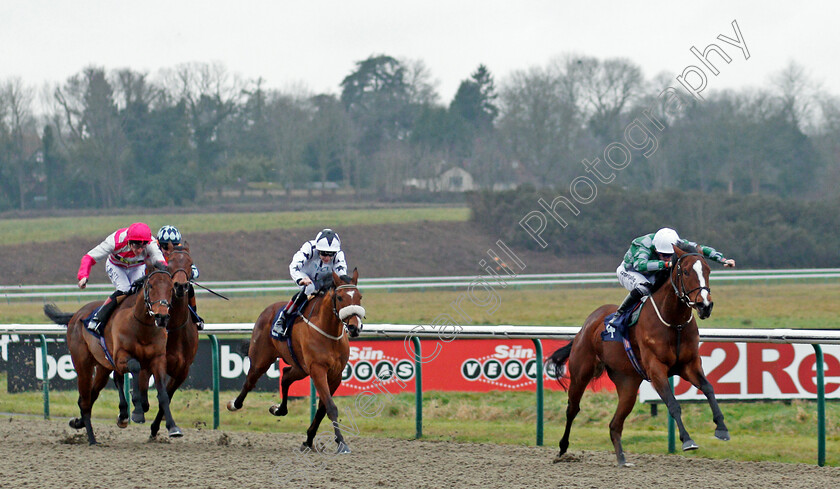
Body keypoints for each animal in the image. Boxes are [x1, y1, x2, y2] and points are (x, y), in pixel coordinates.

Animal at [44, 264, 180, 444]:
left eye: (171, 288)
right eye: (151, 286)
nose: (162, 316)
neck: (141, 326)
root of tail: (76, 315)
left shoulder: (158, 360)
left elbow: (163, 394)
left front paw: (172, 427)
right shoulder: (121, 357)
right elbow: (135, 367)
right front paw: (136, 410)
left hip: (103, 367)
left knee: (92, 394)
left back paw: (82, 422)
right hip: (83, 364)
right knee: (85, 399)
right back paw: (92, 439)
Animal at [132, 246, 203, 436]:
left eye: (190, 263)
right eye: (169, 263)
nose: (180, 285)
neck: (175, 330)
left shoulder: (182, 370)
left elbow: (167, 396)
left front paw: (160, 426)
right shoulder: (155, 360)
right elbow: (150, 388)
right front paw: (140, 410)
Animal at [226, 268, 364, 452]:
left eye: (359, 297)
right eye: (340, 297)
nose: (355, 327)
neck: (329, 332)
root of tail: (267, 310)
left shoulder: (335, 375)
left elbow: (322, 409)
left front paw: (309, 440)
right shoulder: (318, 370)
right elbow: (331, 407)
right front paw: (341, 443)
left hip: (300, 367)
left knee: (285, 376)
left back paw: (279, 410)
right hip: (261, 359)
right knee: (250, 382)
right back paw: (234, 404)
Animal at [552, 244, 728, 466]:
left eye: (708, 271)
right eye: (687, 272)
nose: (705, 305)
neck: (675, 324)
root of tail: (586, 325)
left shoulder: (689, 365)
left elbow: (708, 388)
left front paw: (722, 428)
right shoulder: (656, 368)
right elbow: (673, 404)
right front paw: (687, 440)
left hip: (627, 383)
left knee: (615, 424)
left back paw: (622, 459)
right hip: (581, 373)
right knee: (573, 409)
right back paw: (562, 449)